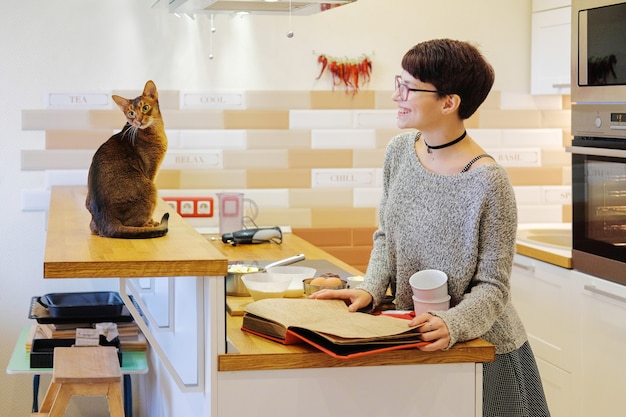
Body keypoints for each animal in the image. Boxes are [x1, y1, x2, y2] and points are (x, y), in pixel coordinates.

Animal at [86, 79, 168, 239]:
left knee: (92, 228)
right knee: (132, 224)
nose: (138, 120)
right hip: (151, 188)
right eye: (131, 113)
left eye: (145, 108)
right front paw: (151, 221)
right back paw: (149, 225)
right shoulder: (151, 172)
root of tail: (106, 219)